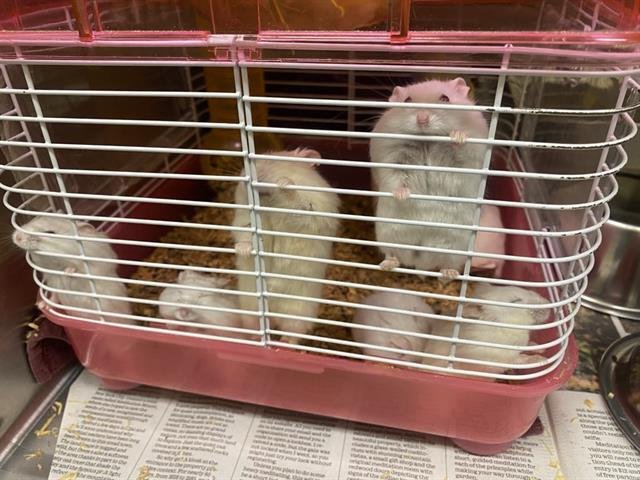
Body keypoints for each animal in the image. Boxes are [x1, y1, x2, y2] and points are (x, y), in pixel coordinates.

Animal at [232, 148, 340, 343]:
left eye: (273, 160)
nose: (245, 176)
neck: (267, 201)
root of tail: (273, 316)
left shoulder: (311, 210)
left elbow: (297, 203)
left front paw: (284, 183)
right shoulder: (244, 220)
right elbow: (245, 235)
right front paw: (242, 250)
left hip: (296, 313)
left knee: (293, 334)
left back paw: (284, 343)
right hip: (251, 309)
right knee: (255, 326)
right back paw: (256, 338)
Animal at [371, 78, 489, 282]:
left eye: (445, 98)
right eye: (407, 100)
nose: (423, 118)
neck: (426, 140)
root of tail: (421, 261)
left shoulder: (473, 153)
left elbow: (464, 148)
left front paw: (457, 136)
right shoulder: (390, 157)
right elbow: (396, 178)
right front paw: (402, 195)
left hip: (455, 248)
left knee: (447, 265)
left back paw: (448, 274)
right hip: (387, 234)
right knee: (393, 255)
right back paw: (387, 265)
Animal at [422, 284, 551, 377]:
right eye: (515, 301)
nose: (549, 303)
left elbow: (528, 345)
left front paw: (541, 348)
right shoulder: (495, 359)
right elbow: (519, 359)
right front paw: (543, 359)